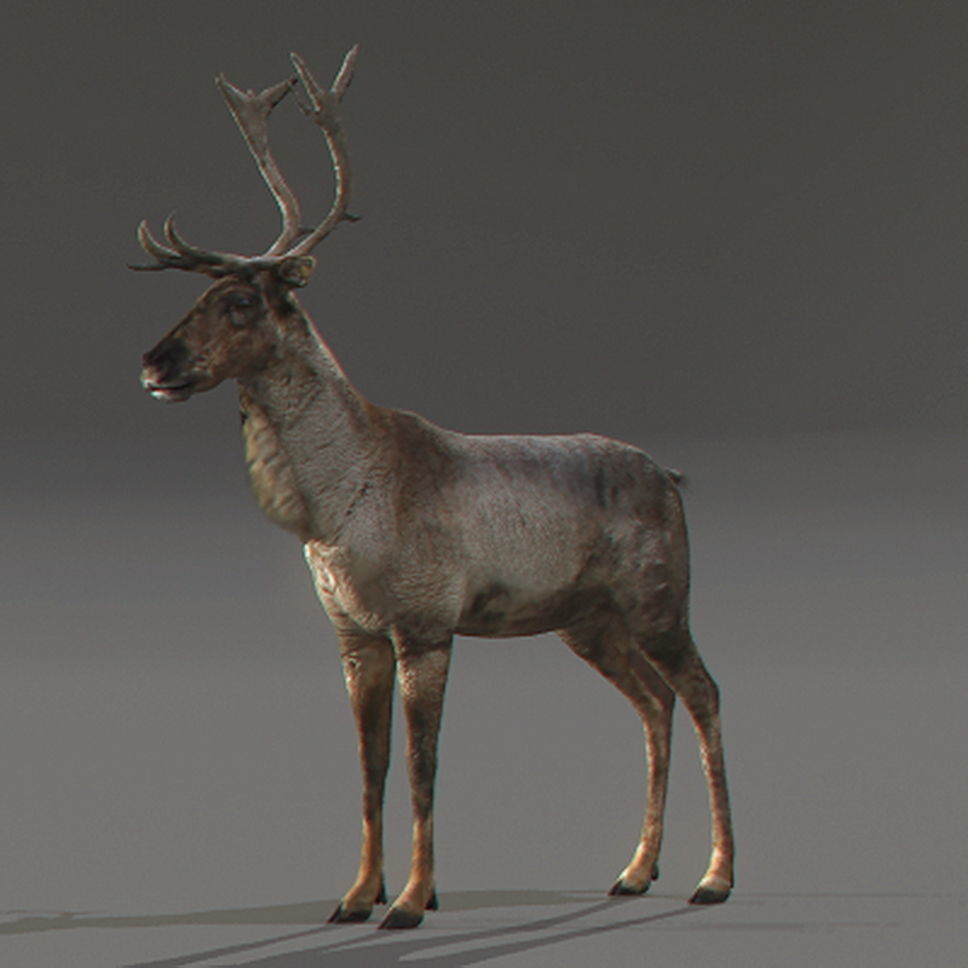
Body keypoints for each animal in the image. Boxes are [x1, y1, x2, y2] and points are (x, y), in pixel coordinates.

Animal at [134, 47, 734, 930]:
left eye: (240, 300)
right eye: (194, 296)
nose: (155, 362)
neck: (336, 509)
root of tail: (672, 477)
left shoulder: (426, 622)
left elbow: (422, 767)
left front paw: (413, 901)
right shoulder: (354, 633)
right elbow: (370, 767)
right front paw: (356, 896)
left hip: (660, 597)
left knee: (703, 692)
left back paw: (714, 877)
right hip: (586, 619)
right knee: (654, 702)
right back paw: (633, 871)